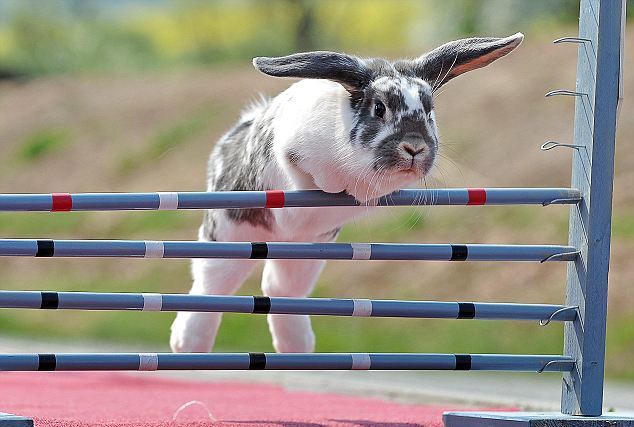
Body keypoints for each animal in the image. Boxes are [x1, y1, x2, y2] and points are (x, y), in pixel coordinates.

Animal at [169, 32, 524, 354]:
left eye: (429, 112)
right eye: (379, 109)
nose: (415, 147)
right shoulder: (290, 150)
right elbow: (305, 172)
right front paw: (328, 185)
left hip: (306, 254)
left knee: (279, 288)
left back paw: (296, 347)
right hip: (230, 238)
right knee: (211, 286)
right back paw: (187, 344)